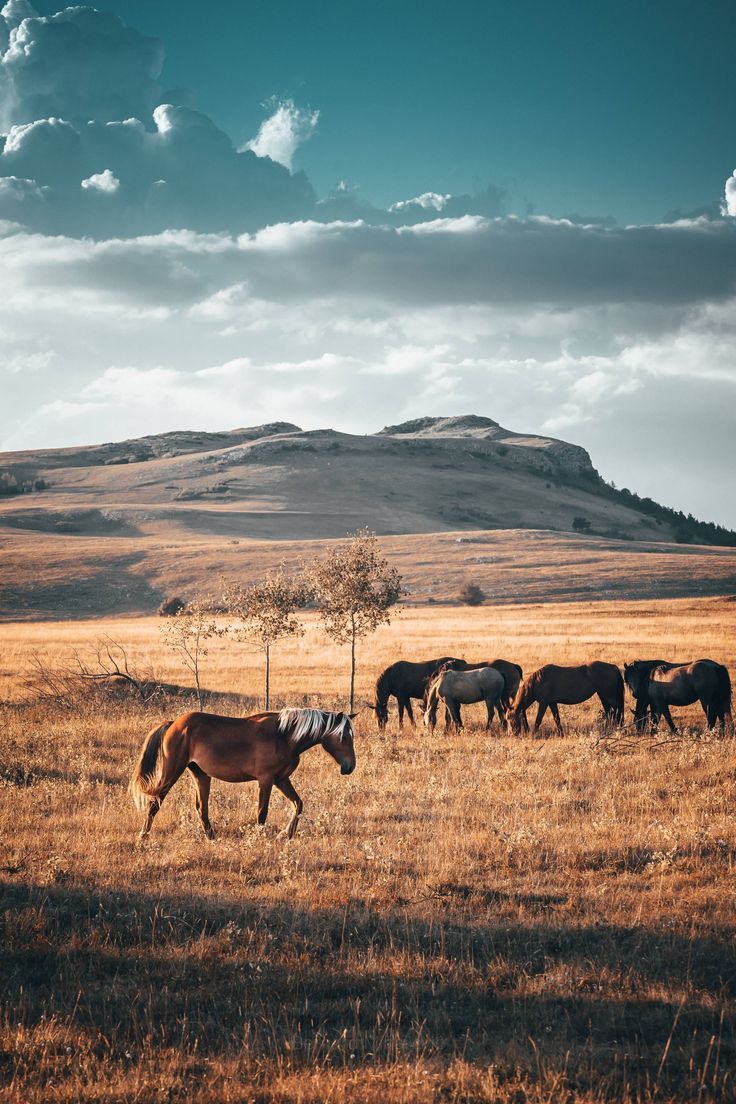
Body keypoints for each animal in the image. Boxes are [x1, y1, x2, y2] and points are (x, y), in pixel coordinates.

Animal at [130, 710, 357, 839]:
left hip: (201, 774)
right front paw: (259, 838)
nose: (350, 767)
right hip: (171, 772)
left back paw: (211, 837)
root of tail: (173, 723)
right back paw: (143, 836)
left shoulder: (281, 779)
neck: (284, 736)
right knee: (154, 804)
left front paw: (286, 834)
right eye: (344, 736)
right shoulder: (266, 780)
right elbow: (262, 812)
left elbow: (298, 804)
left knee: (201, 808)